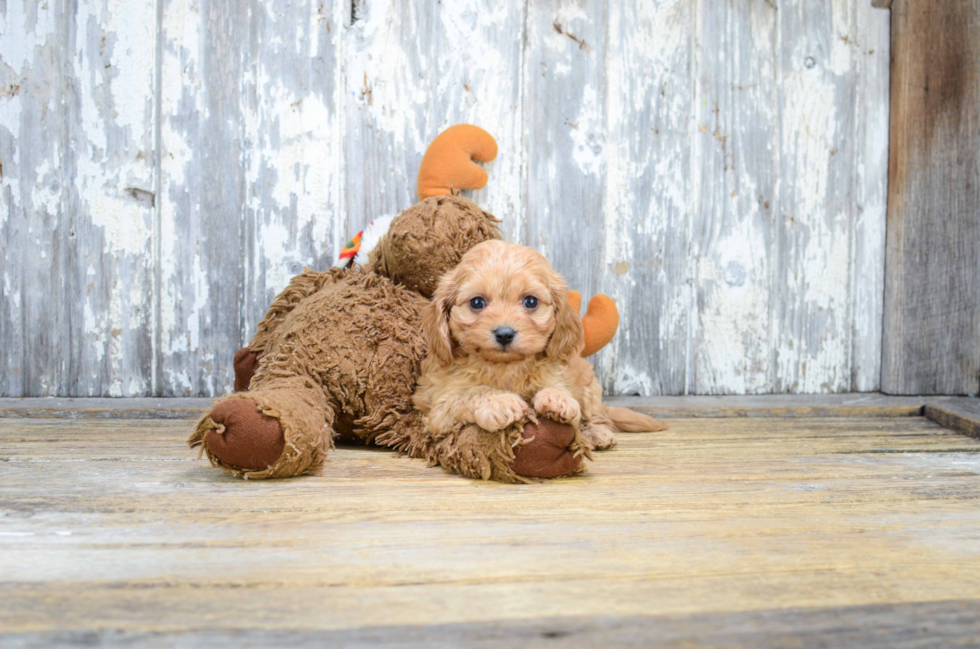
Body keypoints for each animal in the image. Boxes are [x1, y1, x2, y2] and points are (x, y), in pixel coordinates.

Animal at [414, 240, 668, 464]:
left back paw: (598, 433)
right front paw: (500, 402)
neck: (505, 367)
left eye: (530, 302)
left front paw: (556, 399)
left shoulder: (557, 375)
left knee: (597, 414)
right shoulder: (439, 409)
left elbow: (555, 389)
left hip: (589, 386)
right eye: (477, 302)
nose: (504, 334)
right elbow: (473, 392)